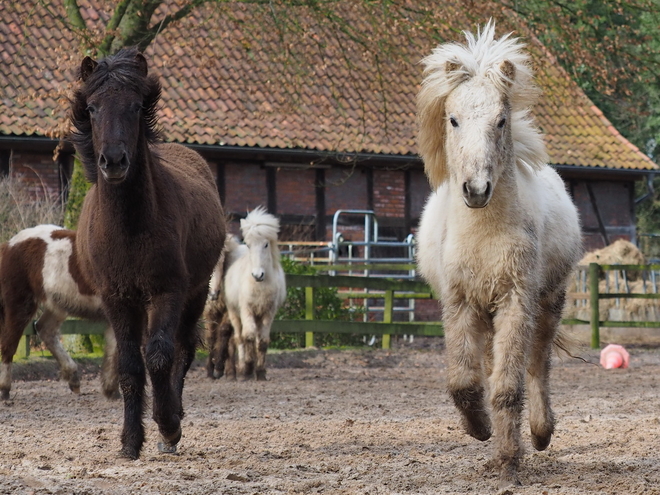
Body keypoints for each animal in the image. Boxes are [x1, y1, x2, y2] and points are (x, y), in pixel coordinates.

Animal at [0, 227, 117, 402]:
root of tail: (9, 244)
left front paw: (111, 390)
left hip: (58, 305)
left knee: (45, 330)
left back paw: (73, 378)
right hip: (20, 304)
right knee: (9, 343)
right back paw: (4, 389)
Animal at [69, 48, 224, 460]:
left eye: (137, 106)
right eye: (92, 108)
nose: (113, 161)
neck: (130, 228)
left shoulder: (168, 290)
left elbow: (159, 357)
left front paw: (167, 426)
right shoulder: (116, 298)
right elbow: (129, 366)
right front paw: (129, 441)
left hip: (196, 292)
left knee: (182, 350)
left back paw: (172, 420)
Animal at [418, 20, 584, 488]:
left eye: (501, 120)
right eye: (453, 119)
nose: (476, 189)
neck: (485, 234)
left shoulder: (515, 299)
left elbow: (509, 387)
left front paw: (509, 459)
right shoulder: (459, 303)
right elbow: (463, 382)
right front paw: (480, 430)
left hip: (547, 302)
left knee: (537, 364)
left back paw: (541, 434)